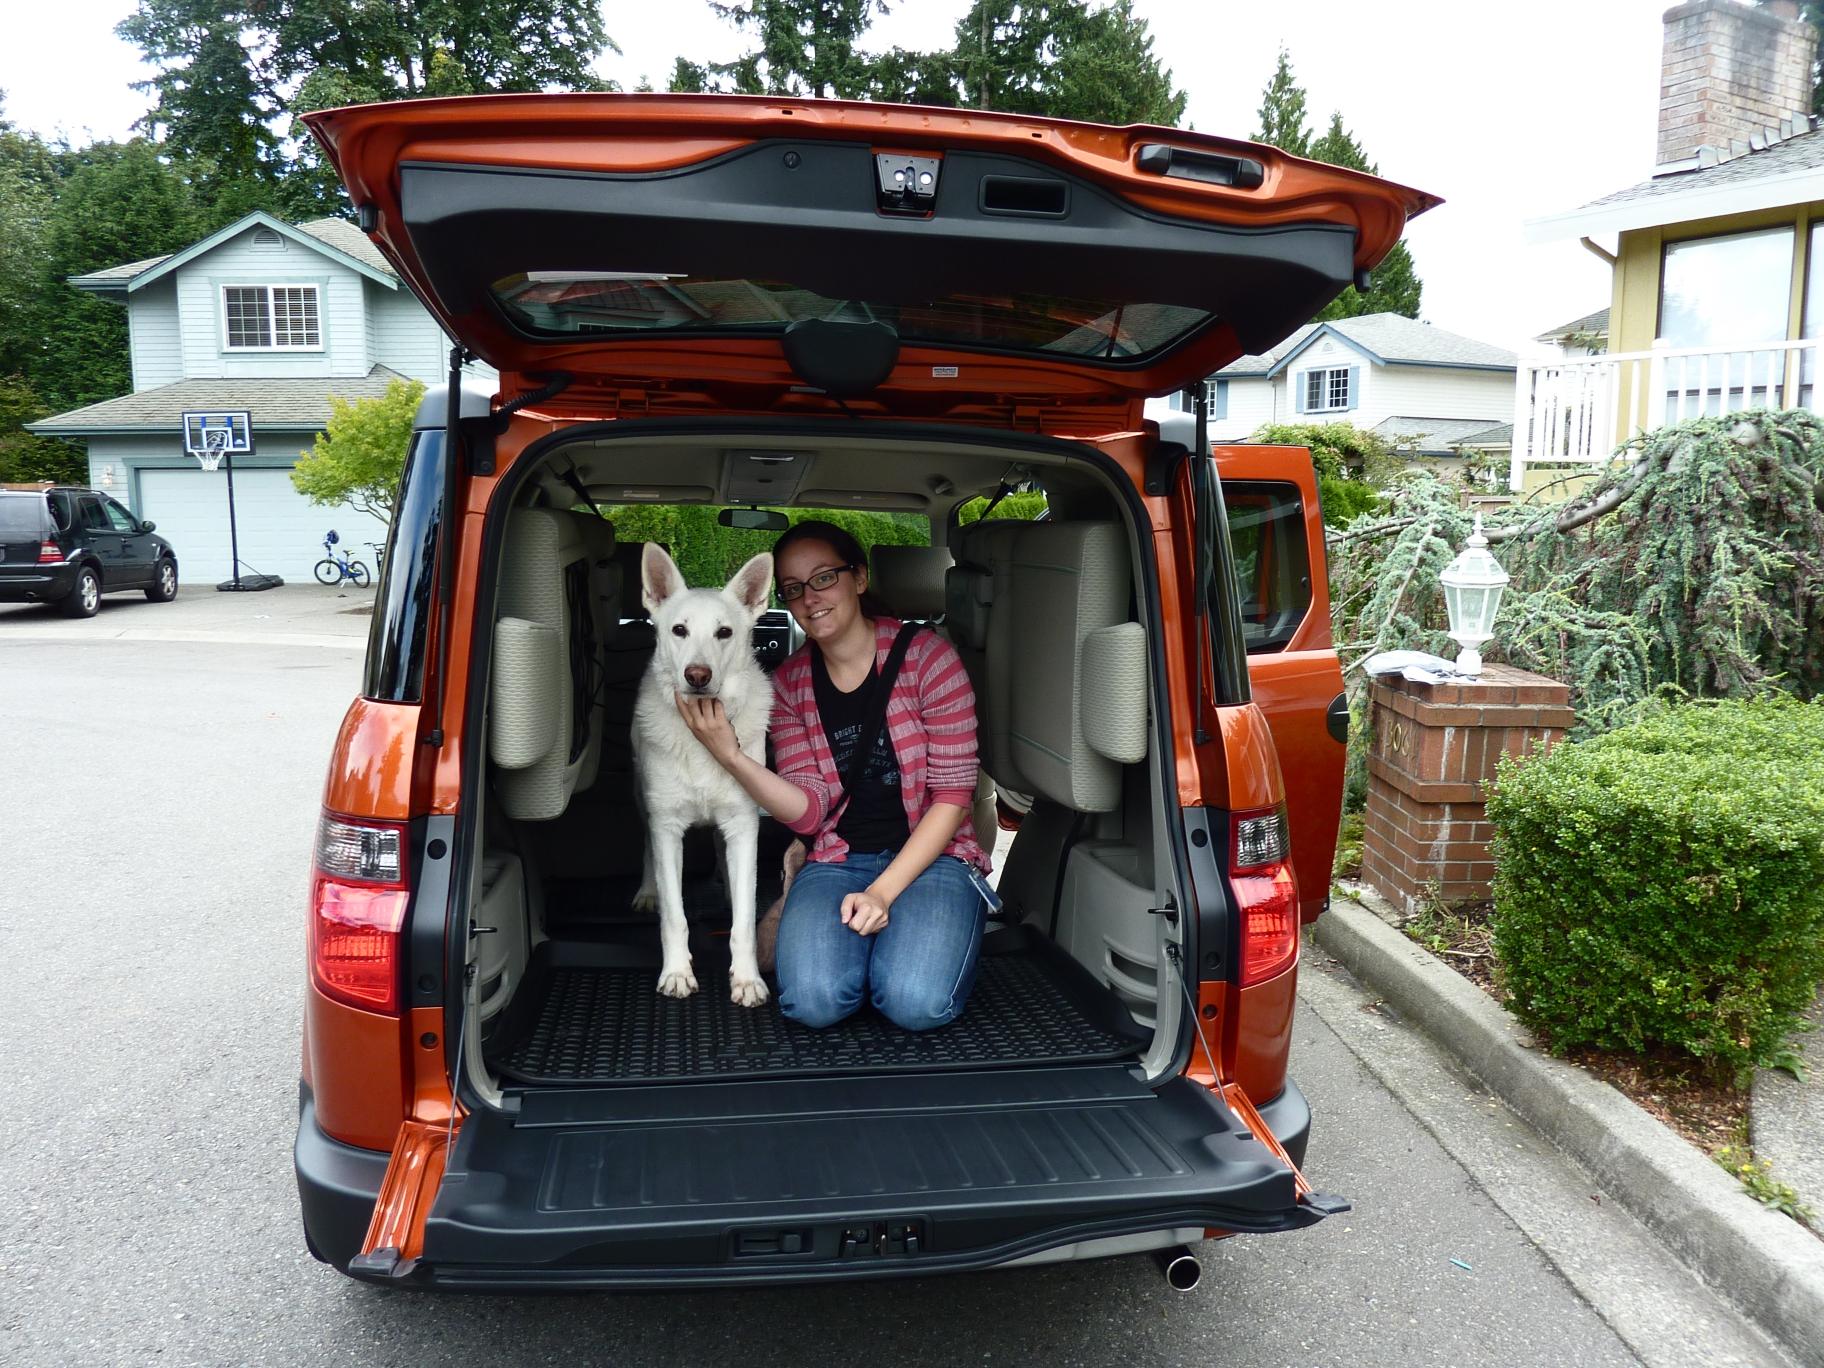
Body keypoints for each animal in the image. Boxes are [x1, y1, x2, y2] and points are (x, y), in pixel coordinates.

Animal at [631, 543, 773, 1006]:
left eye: (724, 633)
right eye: (679, 630)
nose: (697, 676)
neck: (700, 739)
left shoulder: (744, 825)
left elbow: (744, 920)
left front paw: (746, 979)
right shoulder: (667, 827)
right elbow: (675, 916)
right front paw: (677, 972)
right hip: (643, 801)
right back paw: (647, 891)